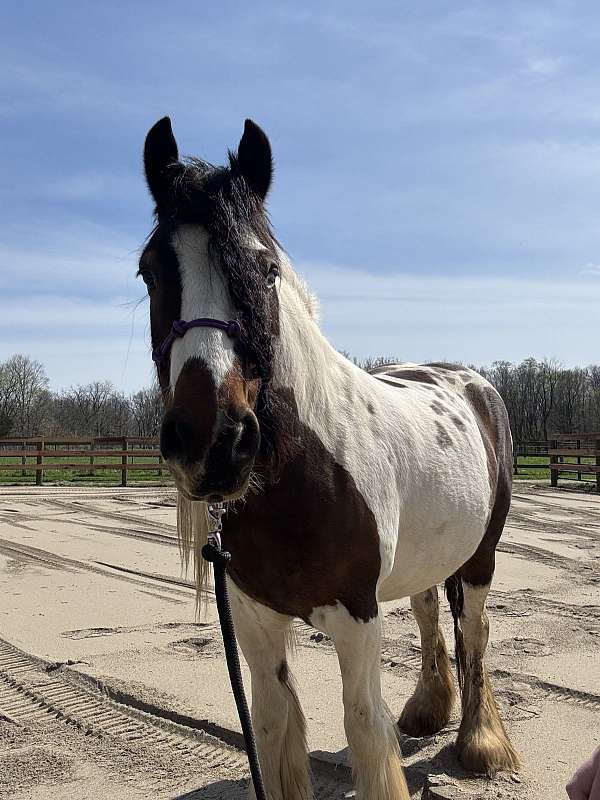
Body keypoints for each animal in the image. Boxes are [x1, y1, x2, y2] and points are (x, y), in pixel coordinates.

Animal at [138, 116, 520, 800]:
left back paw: (480, 743)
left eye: (265, 270)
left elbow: (365, 727)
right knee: (428, 610)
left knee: (473, 632)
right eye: (150, 272)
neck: (297, 477)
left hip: (481, 559)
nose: (215, 441)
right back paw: (429, 710)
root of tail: (473, 383)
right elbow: (274, 724)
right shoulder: (256, 622)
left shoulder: (356, 617)